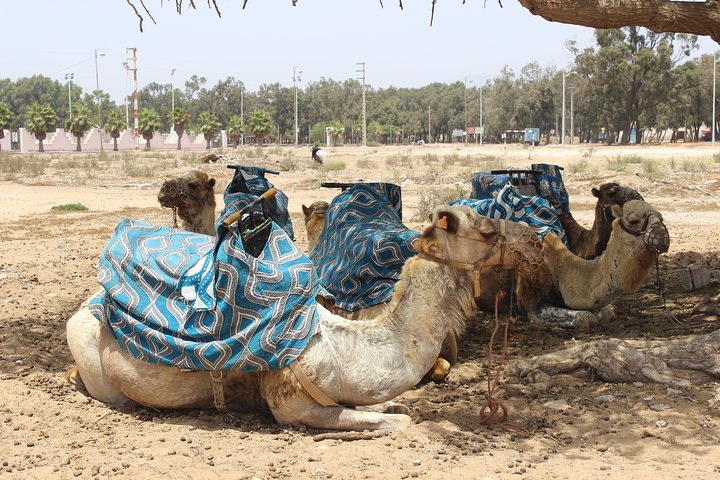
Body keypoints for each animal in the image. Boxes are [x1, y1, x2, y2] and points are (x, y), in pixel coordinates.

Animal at [65, 205, 543, 431]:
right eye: (486, 230)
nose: (537, 240)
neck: (348, 348)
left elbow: (389, 406)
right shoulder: (292, 404)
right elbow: (401, 421)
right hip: (99, 368)